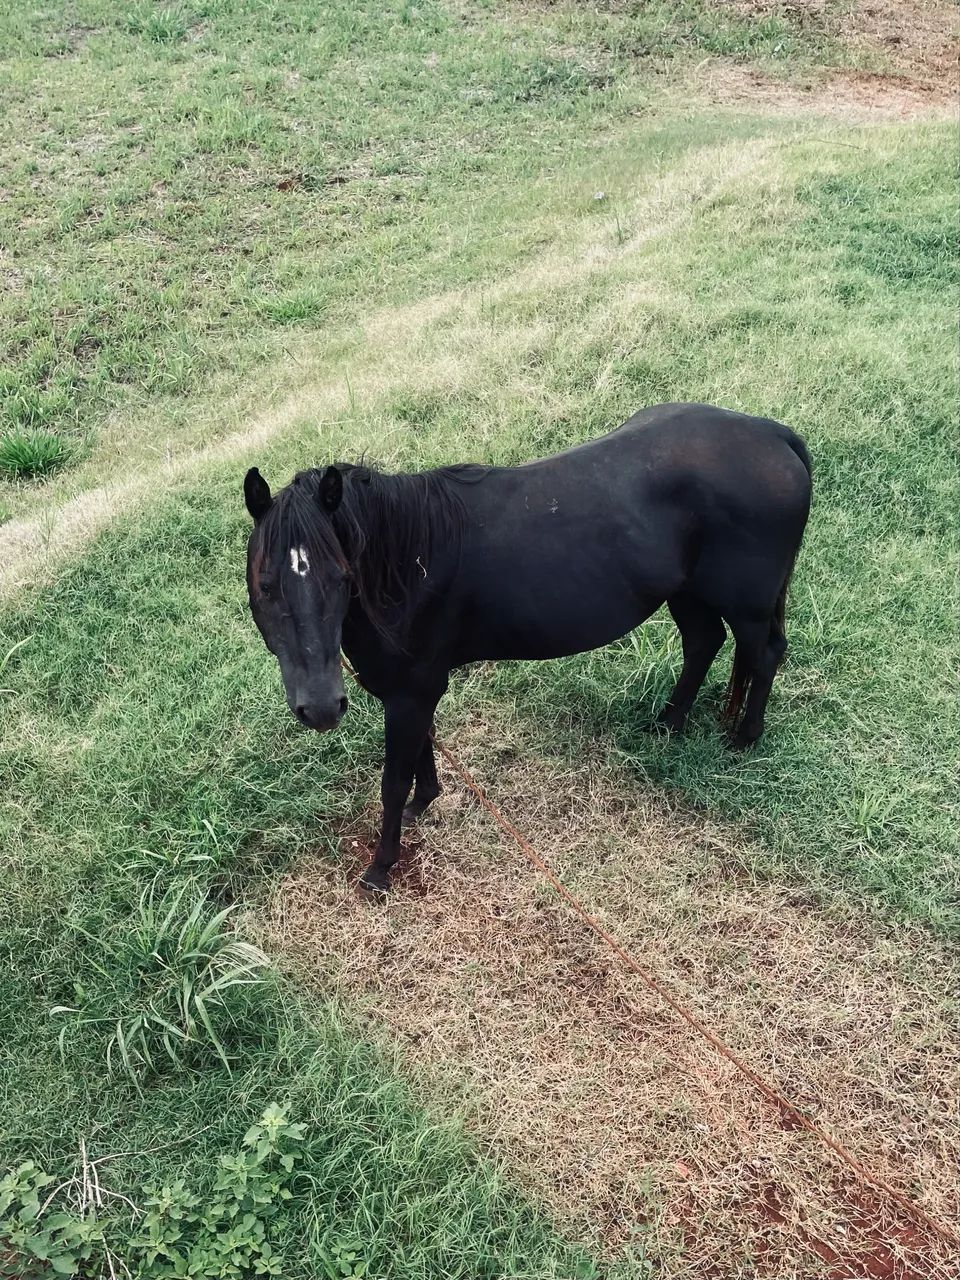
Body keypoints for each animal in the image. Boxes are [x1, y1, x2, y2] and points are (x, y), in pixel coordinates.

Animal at [243, 402, 811, 891]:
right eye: (266, 584)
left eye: (341, 576)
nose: (320, 708)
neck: (407, 563)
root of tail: (771, 433)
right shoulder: (409, 690)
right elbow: (423, 751)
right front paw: (423, 804)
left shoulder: (412, 691)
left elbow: (393, 780)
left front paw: (382, 868)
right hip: (688, 592)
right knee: (702, 643)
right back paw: (668, 724)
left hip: (747, 604)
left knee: (762, 653)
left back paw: (744, 739)